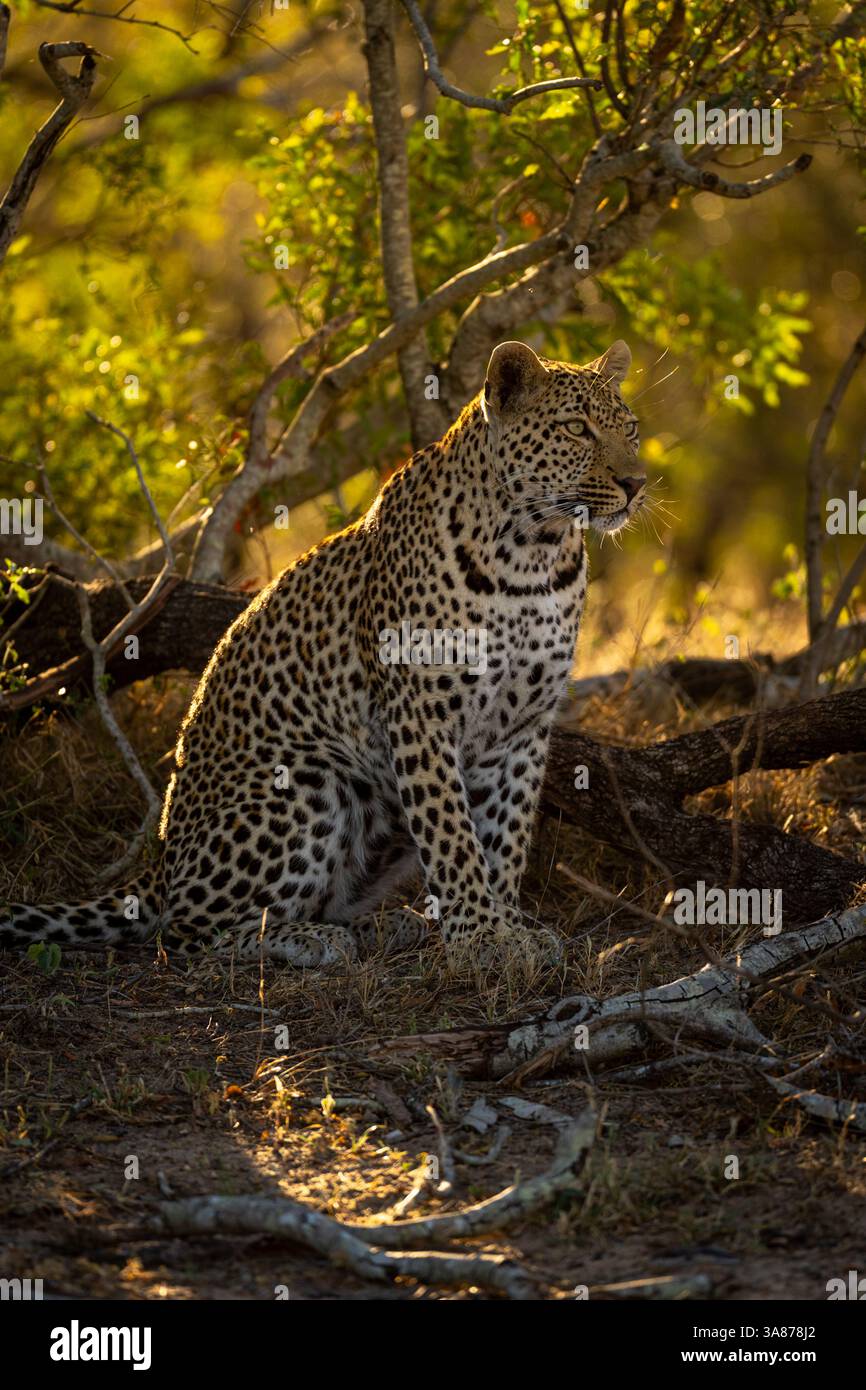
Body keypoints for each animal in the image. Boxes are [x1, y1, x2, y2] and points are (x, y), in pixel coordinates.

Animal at [1, 339, 645, 968]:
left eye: (631, 428)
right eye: (577, 428)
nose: (638, 483)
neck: (534, 555)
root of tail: (162, 863)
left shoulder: (524, 725)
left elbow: (506, 835)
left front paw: (510, 926)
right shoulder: (420, 710)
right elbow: (452, 832)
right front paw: (481, 937)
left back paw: (384, 927)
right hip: (310, 781)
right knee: (189, 934)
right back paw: (313, 941)